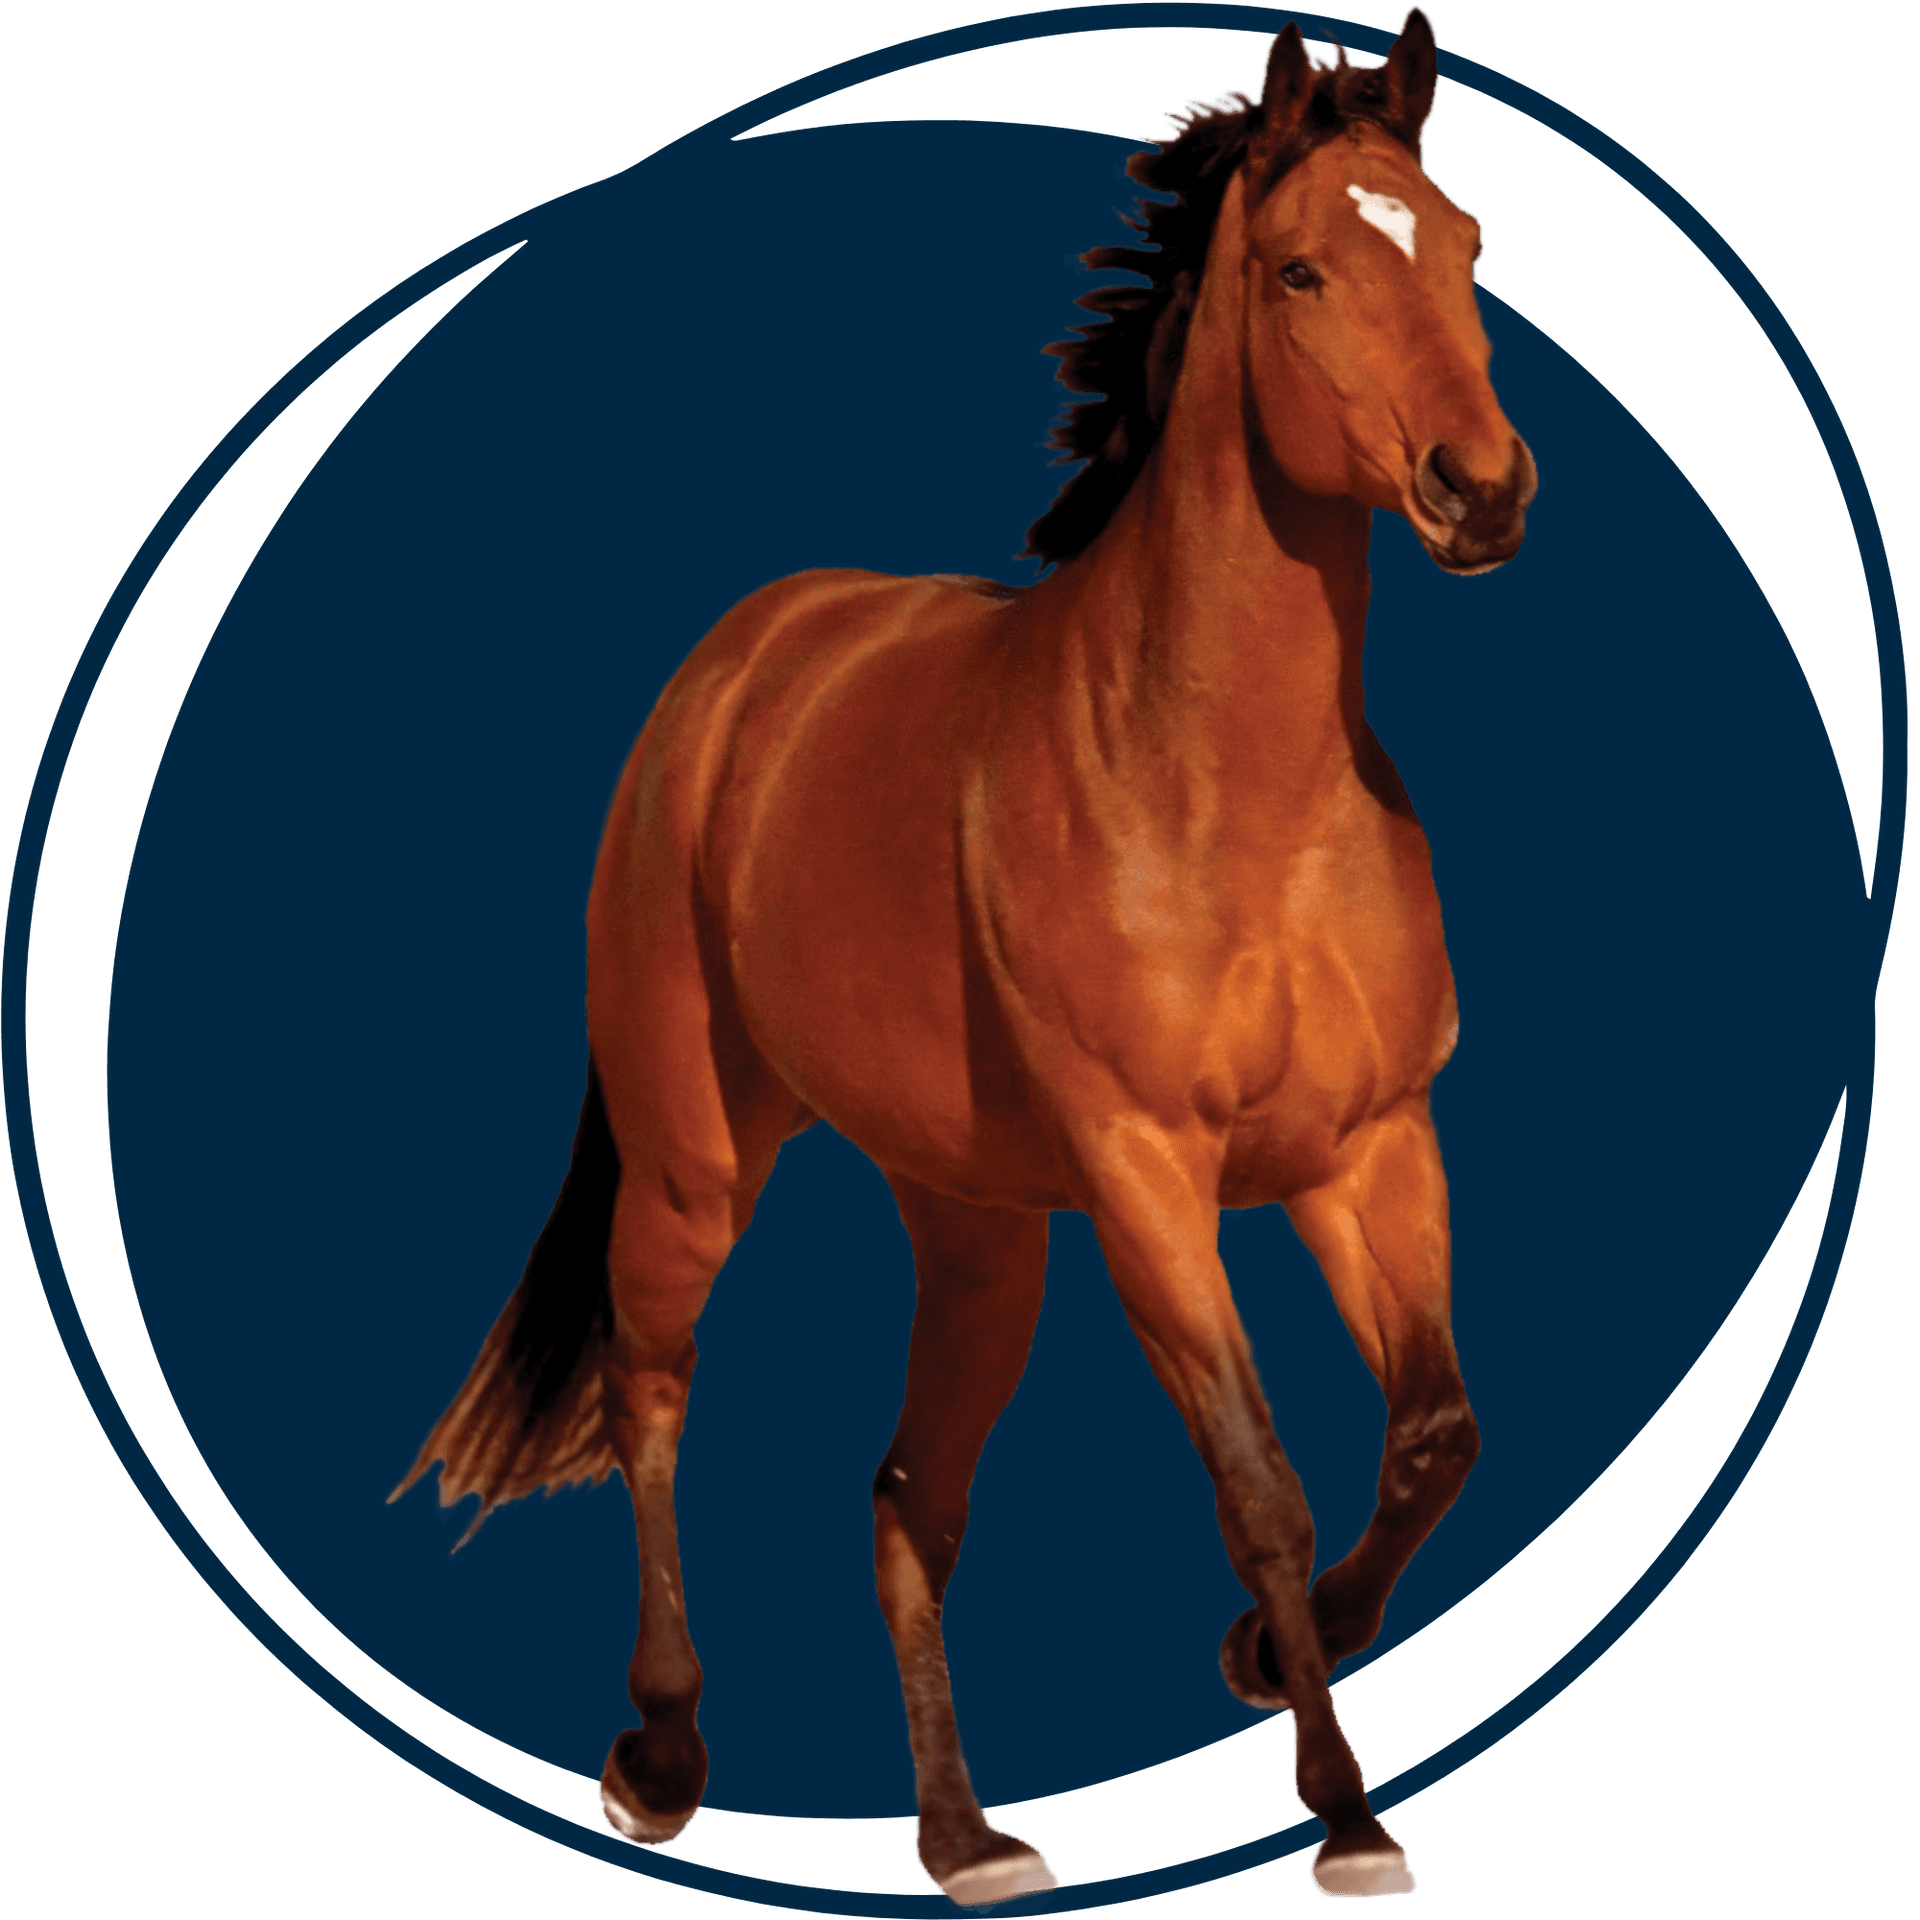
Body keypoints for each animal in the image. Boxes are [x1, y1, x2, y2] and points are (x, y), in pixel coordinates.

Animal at [395, 11, 1534, 1903]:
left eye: (1461, 247)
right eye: (1303, 268)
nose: (1484, 493)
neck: (1227, 792)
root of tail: (738, 667)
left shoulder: (1369, 1149)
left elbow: (1437, 1433)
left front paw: (1266, 1655)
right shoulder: (1150, 1177)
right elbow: (1263, 1481)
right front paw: (1346, 1811)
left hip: (982, 1230)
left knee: (907, 1498)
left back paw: (963, 1838)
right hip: (700, 1160)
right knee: (651, 1392)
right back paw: (661, 1757)